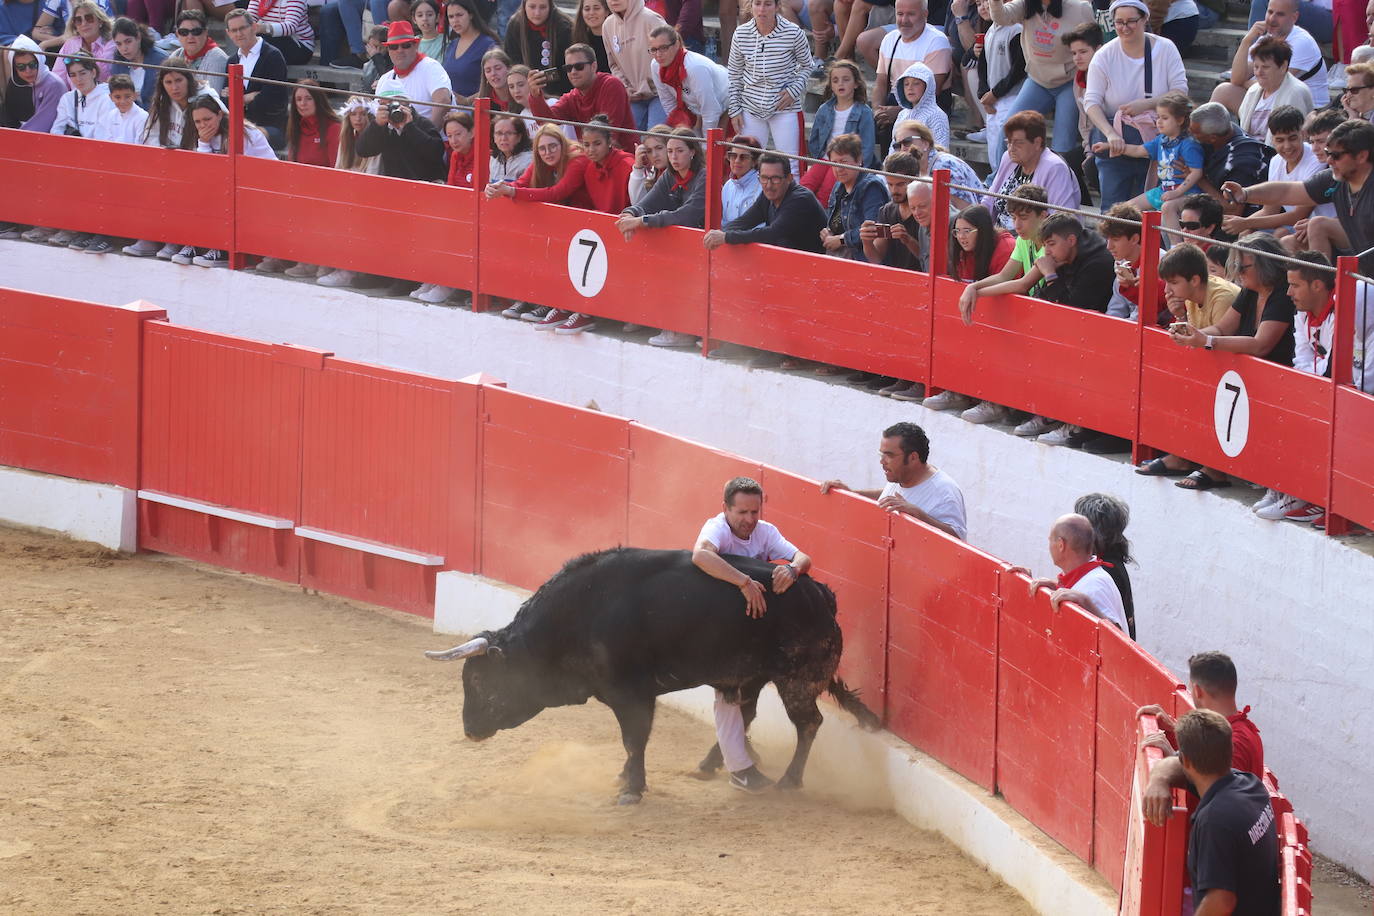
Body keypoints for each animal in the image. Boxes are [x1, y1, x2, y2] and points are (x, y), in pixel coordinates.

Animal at [425, 549, 879, 807]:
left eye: (479, 681)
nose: (469, 730)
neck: (578, 616)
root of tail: (821, 593)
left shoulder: (631, 695)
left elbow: (634, 739)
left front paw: (631, 788)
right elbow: (632, 742)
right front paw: (626, 778)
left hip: (797, 679)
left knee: (808, 723)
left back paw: (787, 781)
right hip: (752, 676)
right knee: (746, 715)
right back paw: (723, 768)